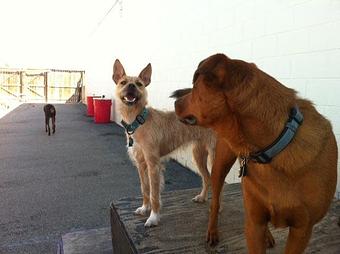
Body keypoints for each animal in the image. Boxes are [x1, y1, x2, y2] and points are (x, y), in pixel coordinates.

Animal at [113, 60, 216, 228]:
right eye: (123, 82)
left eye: (139, 84)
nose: (131, 86)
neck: (139, 121)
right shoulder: (141, 165)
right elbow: (145, 189)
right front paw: (145, 208)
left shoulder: (153, 165)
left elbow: (154, 193)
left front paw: (153, 217)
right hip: (198, 155)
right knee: (207, 179)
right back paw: (202, 197)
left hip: (215, 156)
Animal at [174, 53, 338, 252]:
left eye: (196, 87)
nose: (175, 102)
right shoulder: (254, 225)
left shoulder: (302, 230)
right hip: (220, 166)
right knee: (215, 203)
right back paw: (212, 232)